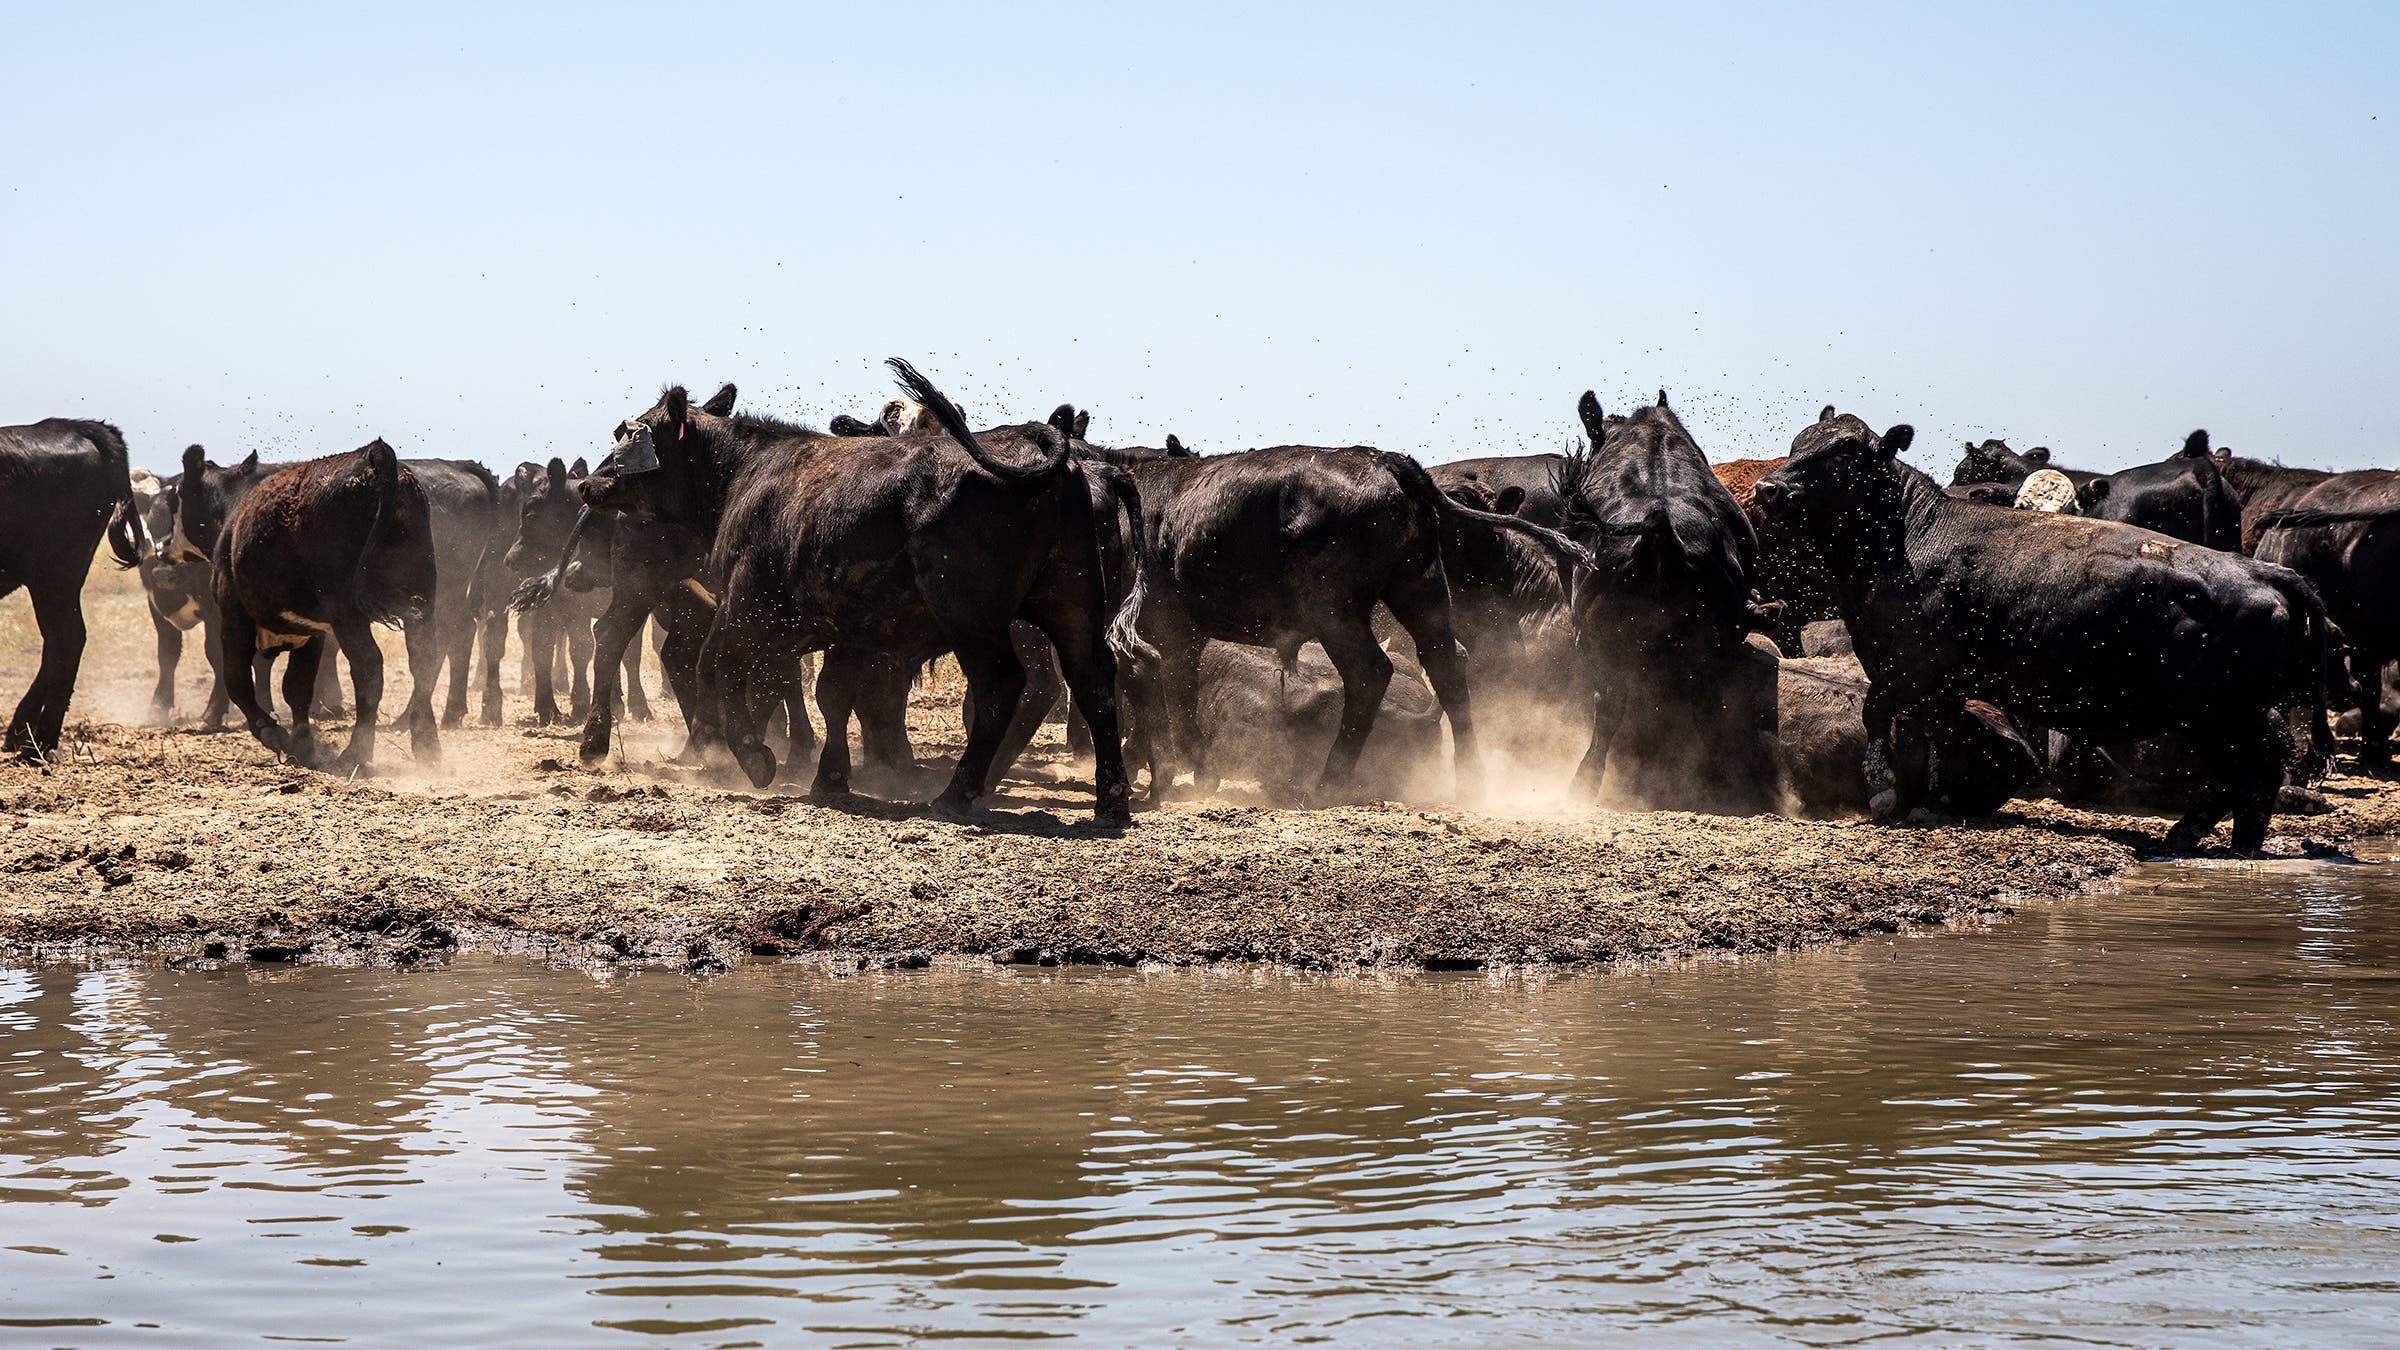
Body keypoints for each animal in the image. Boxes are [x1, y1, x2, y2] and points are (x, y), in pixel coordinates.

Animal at [207, 440, 442, 772]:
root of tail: (375, 455)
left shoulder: (233, 614)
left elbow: (237, 680)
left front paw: (272, 732)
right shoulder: (312, 633)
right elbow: (297, 687)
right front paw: (302, 744)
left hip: (347, 611)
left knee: (369, 666)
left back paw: (356, 753)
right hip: (421, 601)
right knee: (423, 661)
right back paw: (427, 747)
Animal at [690, 360, 1135, 823]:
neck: (757, 473)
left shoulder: (746, 606)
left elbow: (722, 665)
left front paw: (750, 756)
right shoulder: (852, 631)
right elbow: (834, 693)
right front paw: (831, 775)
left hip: (971, 616)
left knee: (1003, 684)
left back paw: (958, 792)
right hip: (1072, 602)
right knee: (1091, 677)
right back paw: (1110, 800)